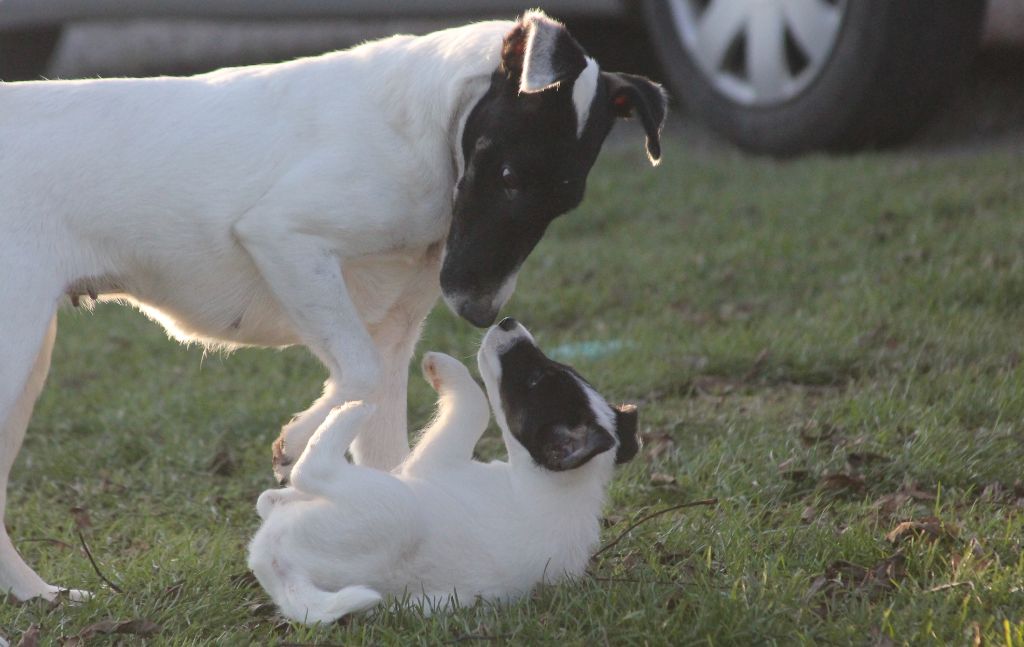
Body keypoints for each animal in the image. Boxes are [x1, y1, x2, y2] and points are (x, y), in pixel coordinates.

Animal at [245, 317, 638, 622]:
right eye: (562, 371)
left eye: (536, 380)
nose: (507, 321)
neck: (563, 485)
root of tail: (286, 571)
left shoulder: (435, 459)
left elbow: (477, 405)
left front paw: (442, 366)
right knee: (277, 498)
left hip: (391, 501)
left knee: (311, 471)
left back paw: (351, 412)